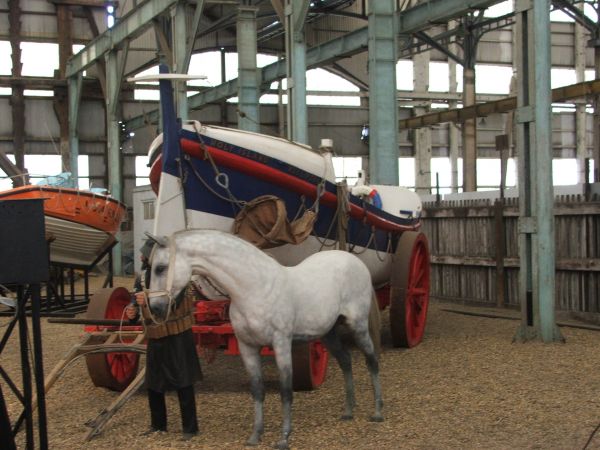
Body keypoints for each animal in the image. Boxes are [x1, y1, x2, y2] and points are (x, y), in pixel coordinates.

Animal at [144, 230, 384, 448]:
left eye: (160, 268)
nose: (155, 308)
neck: (254, 288)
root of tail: (355, 261)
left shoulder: (282, 344)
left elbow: (286, 391)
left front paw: (284, 438)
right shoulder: (248, 348)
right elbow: (257, 390)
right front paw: (255, 436)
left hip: (358, 327)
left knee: (372, 362)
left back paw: (378, 412)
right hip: (328, 334)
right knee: (346, 362)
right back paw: (348, 412)